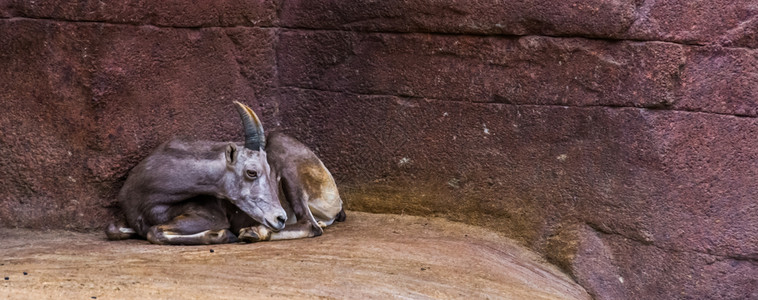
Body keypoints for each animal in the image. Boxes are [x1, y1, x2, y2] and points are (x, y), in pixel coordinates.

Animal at [105, 102, 346, 245]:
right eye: (252, 172)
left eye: (270, 171)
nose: (279, 218)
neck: (146, 193)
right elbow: (113, 229)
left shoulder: (210, 216)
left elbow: (154, 232)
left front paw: (222, 234)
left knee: (310, 224)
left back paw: (253, 232)